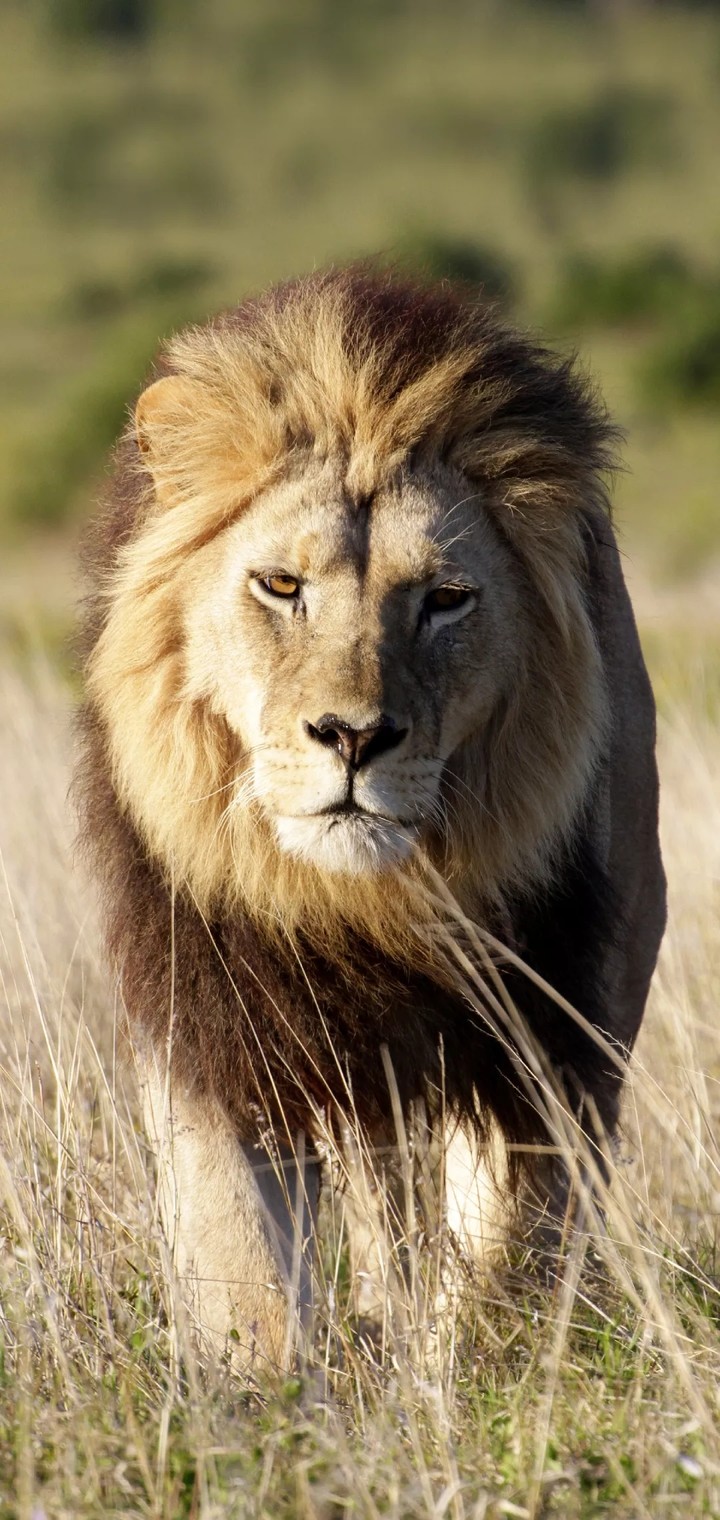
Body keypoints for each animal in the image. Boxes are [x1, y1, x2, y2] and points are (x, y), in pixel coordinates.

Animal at [77, 265, 666, 1372]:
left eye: (445, 598)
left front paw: (483, 1362)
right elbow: (245, 1259)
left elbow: (514, 1224)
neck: (358, 898)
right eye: (280, 585)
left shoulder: (555, 996)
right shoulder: (216, 1014)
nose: (353, 736)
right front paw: (269, 1397)